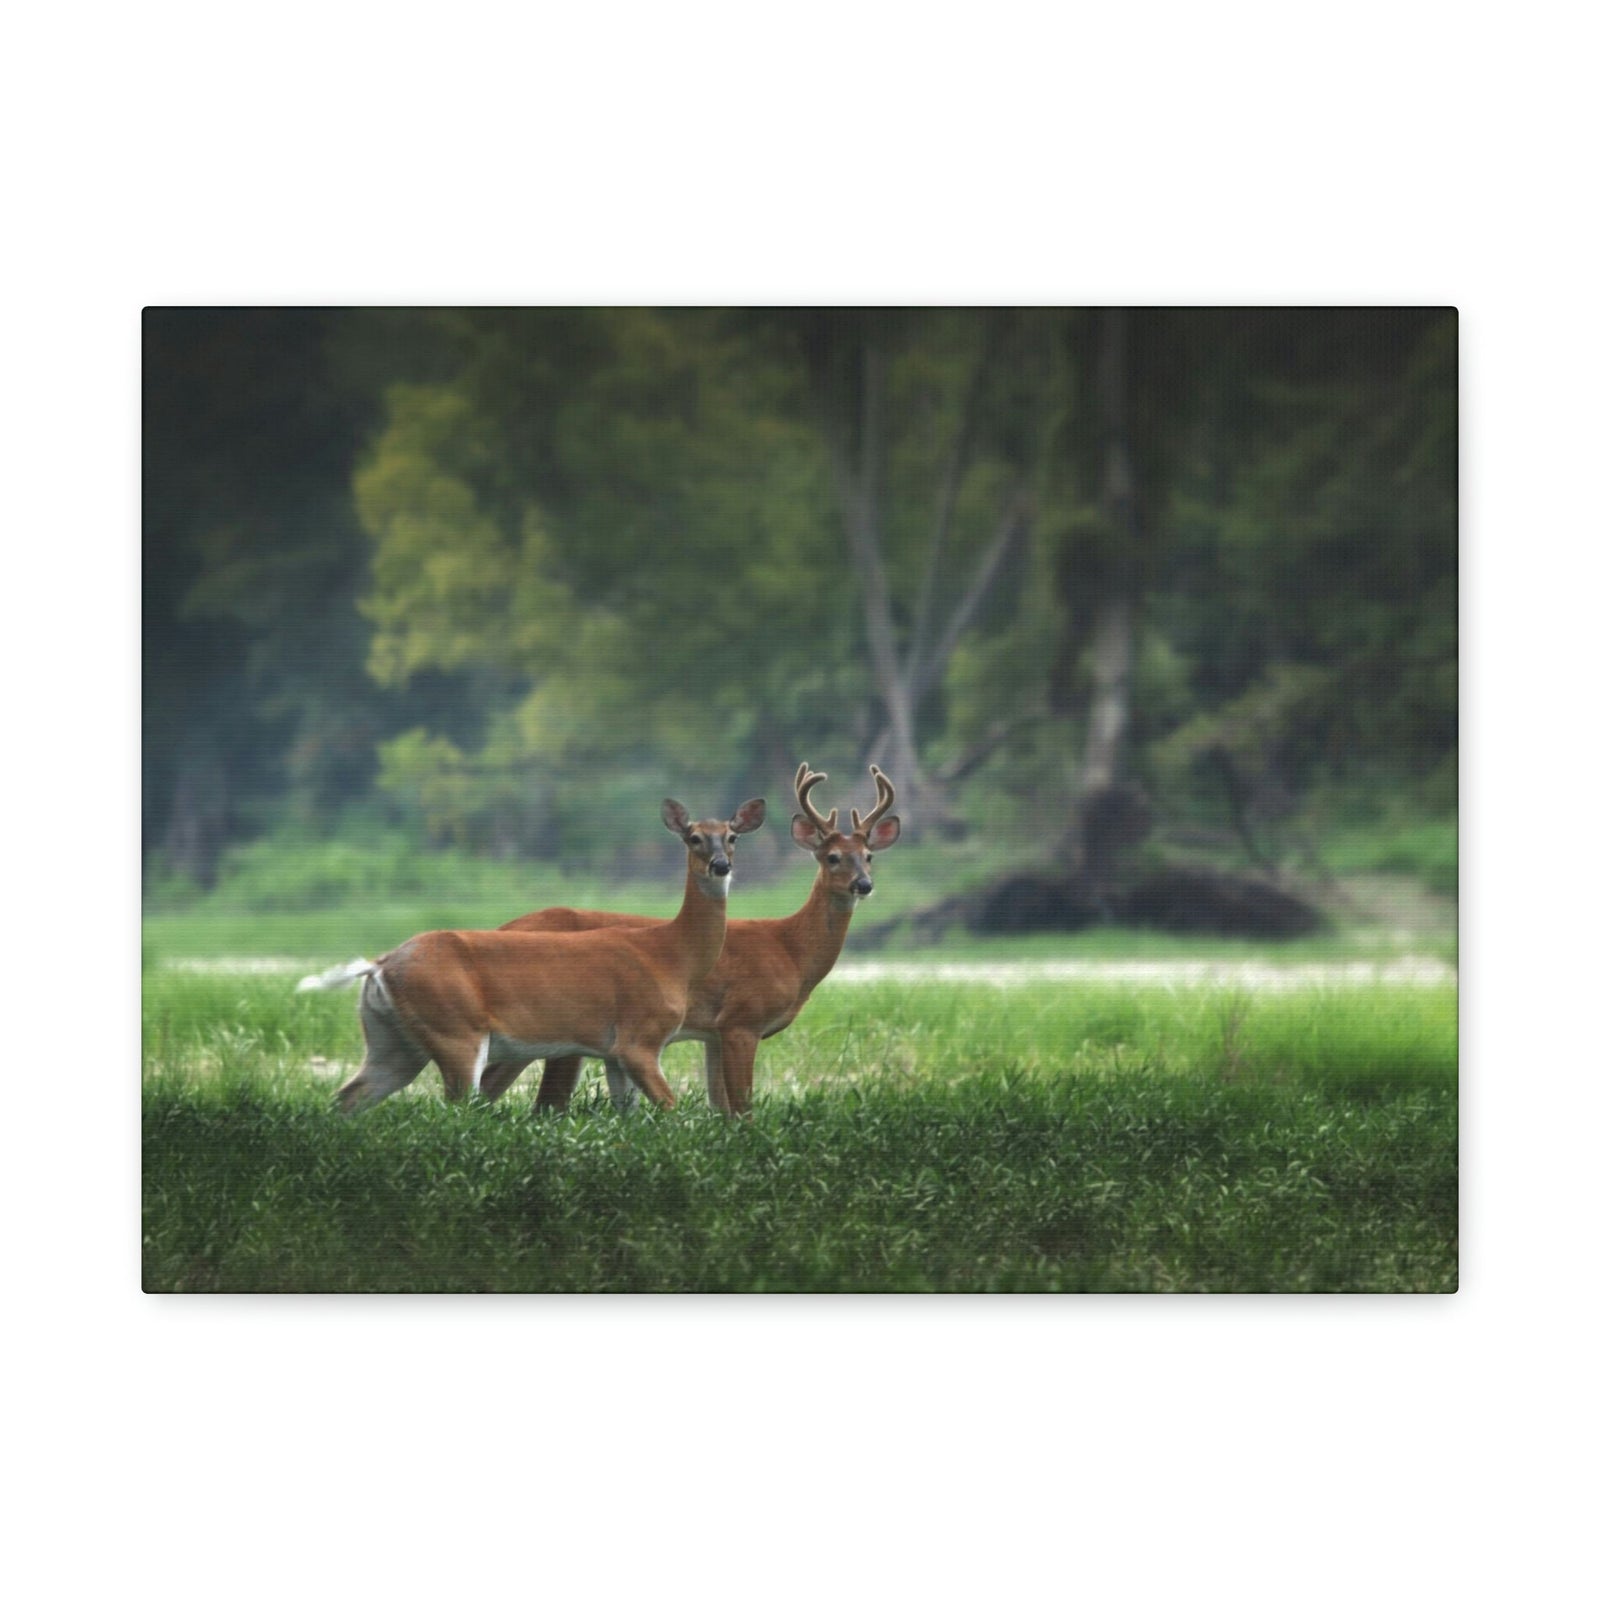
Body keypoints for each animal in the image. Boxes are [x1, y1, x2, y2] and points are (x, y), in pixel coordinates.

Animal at [295, 797, 767, 1112]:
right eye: (693, 838)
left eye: (732, 837)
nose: (721, 865)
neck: (670, 955)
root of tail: (379, 965)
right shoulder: (640, 1038)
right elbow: (670, 1110)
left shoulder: (613, 1052)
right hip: (456, 1031)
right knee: (454, 1108)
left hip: (392, 1042)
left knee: (347, 1098)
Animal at [480, 764, 900, 1116]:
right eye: (832, 857)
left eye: (868, 856)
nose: (863, 885)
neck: (790, 950)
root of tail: (501, 927)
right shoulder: (741, 1019)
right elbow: (742, 1108)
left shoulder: (713, 1035)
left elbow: (721, 1108)